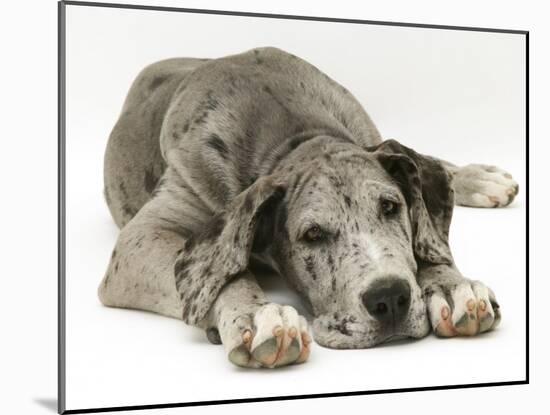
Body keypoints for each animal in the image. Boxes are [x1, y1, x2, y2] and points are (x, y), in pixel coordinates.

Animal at [100, 47, 520, 368]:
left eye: (390, 207)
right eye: (312, 234)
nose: (389, 298)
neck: (293, 137)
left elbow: (426, 238)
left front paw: (451, 286)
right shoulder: (143, 237)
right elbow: (223, 270)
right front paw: (254, 314)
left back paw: (476, 178)